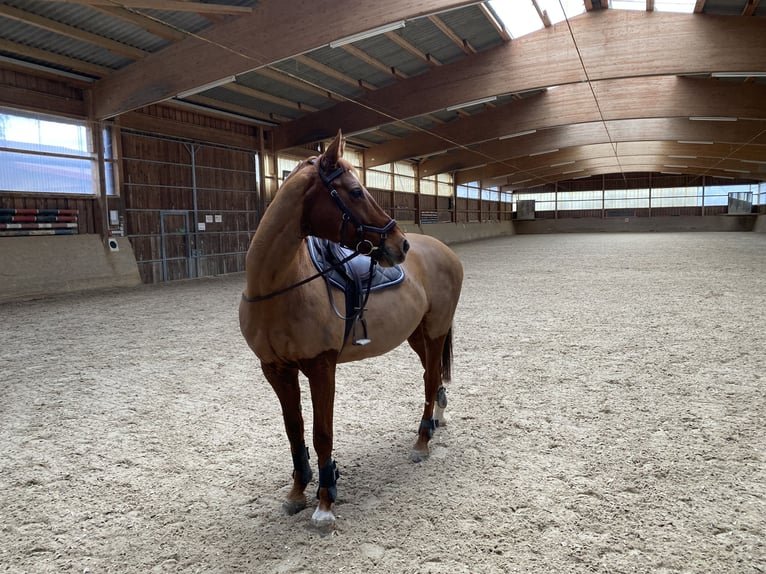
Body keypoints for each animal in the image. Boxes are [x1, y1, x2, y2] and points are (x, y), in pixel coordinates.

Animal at [240, 129, 464, 528]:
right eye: (356, 191)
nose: (401, 243)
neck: (278, 287)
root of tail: (443, 251)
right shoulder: (276, 370)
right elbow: (294, 430)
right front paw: (297, 492)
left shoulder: (321, 367)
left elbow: (321, 434)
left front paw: (325, 502)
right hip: (417, 334)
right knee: (433, 373)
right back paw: (436, 420)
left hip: (435, 330)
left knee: (429, 378)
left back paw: (422, 441)